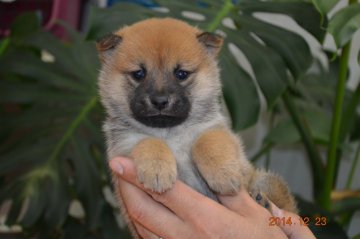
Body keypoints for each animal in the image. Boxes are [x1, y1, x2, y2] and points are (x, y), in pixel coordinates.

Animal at [97, 17, 296, 238]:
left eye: (181, 74)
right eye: (139, 74)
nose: (160, 101)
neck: (170, 133)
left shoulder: (215, 129)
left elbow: (207, 142)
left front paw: (222, 173)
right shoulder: (124, 144)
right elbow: (148, 140)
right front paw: (157, 169)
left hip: (264, 179)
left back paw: (263, 203)